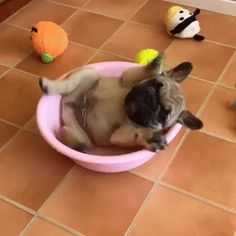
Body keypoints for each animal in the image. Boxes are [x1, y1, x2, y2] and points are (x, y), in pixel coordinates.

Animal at [39, 58, 203, 152]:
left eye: (163, 115)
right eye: (157, 84)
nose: (150, 100)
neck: (125, 110)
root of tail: (68, 105)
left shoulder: (119, 136)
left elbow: (135, 134)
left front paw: (150, 138)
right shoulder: (128, 78)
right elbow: (139, 73)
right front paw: (153, 67)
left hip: (83, 138)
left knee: (78, 141)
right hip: (90, 74)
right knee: (67, 84)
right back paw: (49, 85)